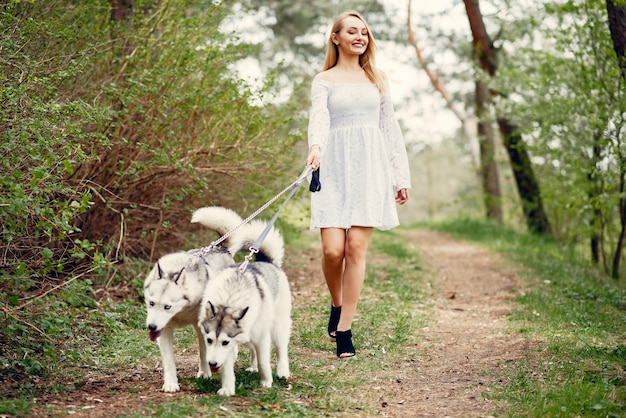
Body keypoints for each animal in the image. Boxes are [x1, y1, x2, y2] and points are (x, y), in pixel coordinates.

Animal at [145, 207, 245, 394]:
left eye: (167, 307)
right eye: (151, 303)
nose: (151, 327)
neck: (181, 312)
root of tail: (220, 248)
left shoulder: (203, 327)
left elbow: (204, 351)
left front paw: (205, 373)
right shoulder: (165, 330)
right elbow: (169, 360)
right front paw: (171, 383)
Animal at [196, 220, 292, 396]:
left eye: (225, 342)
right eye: (209, 340)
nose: (212, 364)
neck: (229, 300)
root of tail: (266, 261)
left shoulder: (260, 338)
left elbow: (263, 362)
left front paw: (266, 382)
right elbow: (227, 369)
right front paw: (227, 388)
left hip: (277, 327)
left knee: (281, 349)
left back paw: (282, 372)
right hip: (249, 335)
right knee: (252, 349)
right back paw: (252, 367)